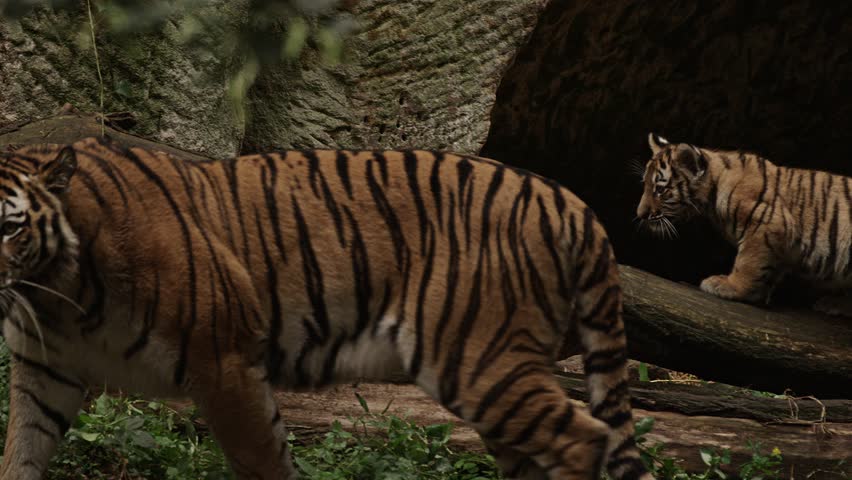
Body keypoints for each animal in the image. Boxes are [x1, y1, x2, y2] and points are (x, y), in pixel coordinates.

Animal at [0, 136, 653, 480]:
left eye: (7, 226)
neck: (56, 295)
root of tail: (571, 201)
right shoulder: (45, 374)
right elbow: (20, 453)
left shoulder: (224, 363)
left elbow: (263, 462)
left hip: (477, 359)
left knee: (583, 438)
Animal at [636, 132, 852, 314]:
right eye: (645, 184)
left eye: (660, 190)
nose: (640, 215)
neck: (711, 196)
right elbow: (767, 271)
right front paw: (756, 295)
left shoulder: (767, 224)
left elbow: (748, 262)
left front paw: (730, 286)